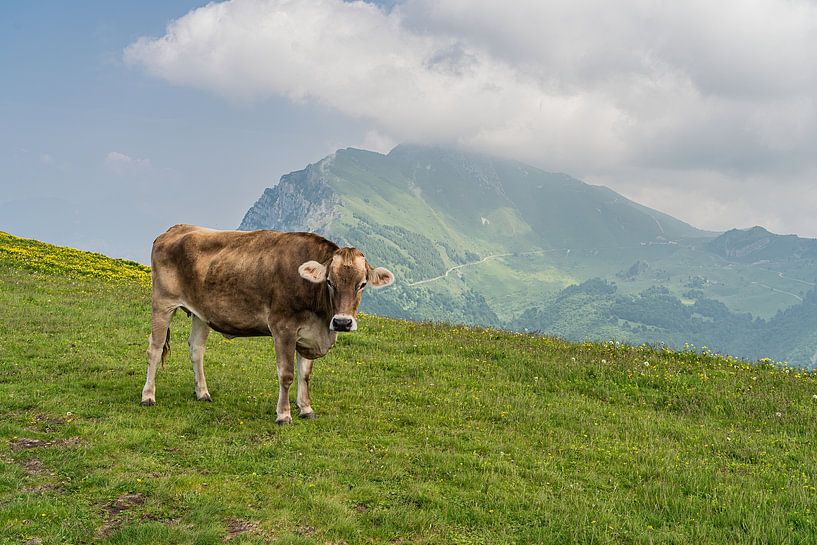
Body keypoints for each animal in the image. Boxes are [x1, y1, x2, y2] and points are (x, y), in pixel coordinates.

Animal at [140, 224, 395, 424]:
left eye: (362, 284)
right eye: (330, 281)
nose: (342, 322)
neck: (320, 319)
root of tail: (174, 229)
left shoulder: (308, 334)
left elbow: (305, 374)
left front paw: (306, 409)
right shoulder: (283, 328)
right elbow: (287, 374)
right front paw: (283, 415)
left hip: (201, 313)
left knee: (196, 349)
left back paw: (202, 393)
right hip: (162, 302)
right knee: (155, 348)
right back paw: (148, 396)